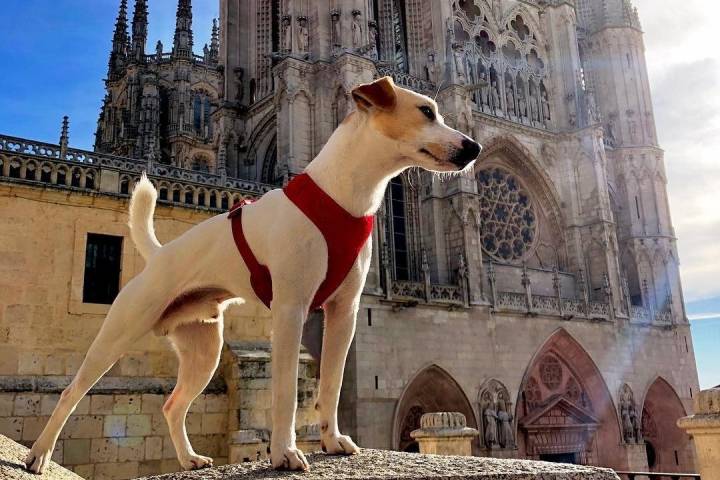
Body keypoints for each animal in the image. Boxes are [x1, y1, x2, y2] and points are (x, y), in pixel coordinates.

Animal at [25, 77, 480, 474]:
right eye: (426, 111)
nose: (474, 147)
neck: (343, 195)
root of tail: (159, 255)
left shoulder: (345, 313)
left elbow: (331, 386)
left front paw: (332, 441)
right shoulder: (291, 310)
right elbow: (286, 392)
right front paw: (284, 453)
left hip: (204, 350)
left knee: (173, 405)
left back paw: (189, 459)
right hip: (119, 333)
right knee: (71, 391)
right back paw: (38, 455)